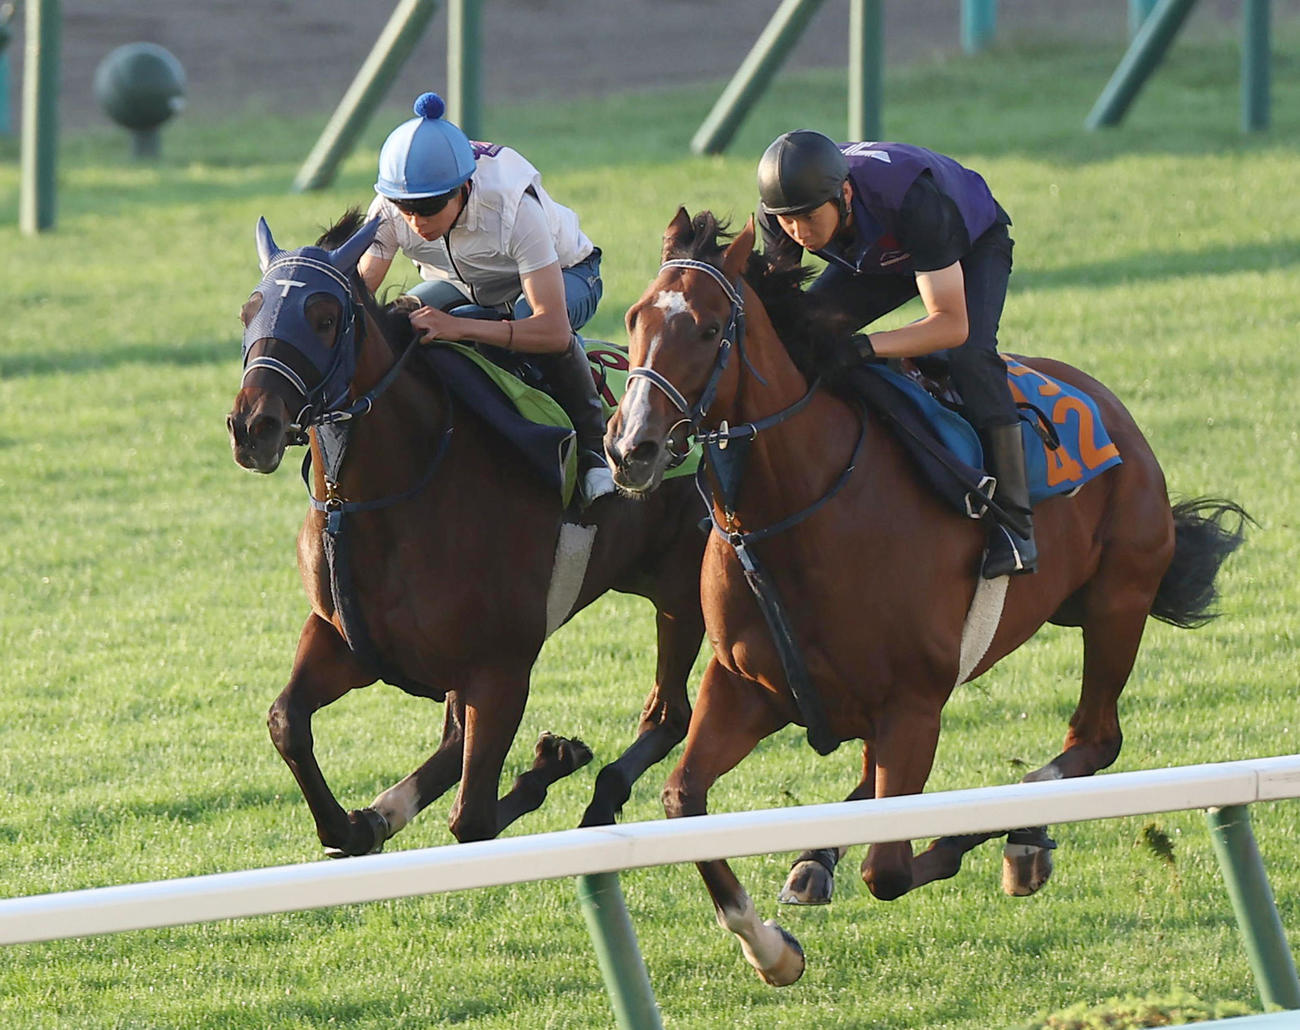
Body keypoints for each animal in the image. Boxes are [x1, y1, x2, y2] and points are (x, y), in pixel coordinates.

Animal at [226, 210, 706, 856]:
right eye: (248, 313)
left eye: (324, 318)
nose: (253, 425)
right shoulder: (342, 637)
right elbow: (287, 723)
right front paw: (357, 823)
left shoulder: (501, 667)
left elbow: (471, 819)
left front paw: (546, 768)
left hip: (681, 590)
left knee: (669, 713)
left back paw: (595, 794)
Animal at [604, 208, 1248, 985]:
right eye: (634, 318)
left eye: (704, 329)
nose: (630, 449)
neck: (800, 506)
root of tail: (1109, 405)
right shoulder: (741, 686)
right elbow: (682, 800)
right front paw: (770, 949)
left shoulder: (913, 704)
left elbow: (888, 868)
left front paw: (958, 843)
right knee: (872, 780)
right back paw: (817, 858)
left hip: (1118, 601)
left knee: (1094, 739)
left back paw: (1021, 837)